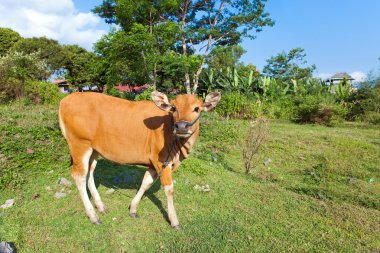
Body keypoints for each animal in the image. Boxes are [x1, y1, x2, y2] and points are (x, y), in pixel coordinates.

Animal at [58, 90, 221, 227]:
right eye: (173, 108)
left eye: (197, 109)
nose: (181, 126)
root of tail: (66, 99)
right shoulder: (161, 161)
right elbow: (168, 189)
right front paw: (174, 220)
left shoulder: (153, 164)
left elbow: (146, 183)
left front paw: (133, 209)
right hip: (79, 145)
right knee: (79, 176)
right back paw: (93, 215)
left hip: (93, 150)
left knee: (89, 173)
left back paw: (100, 206)